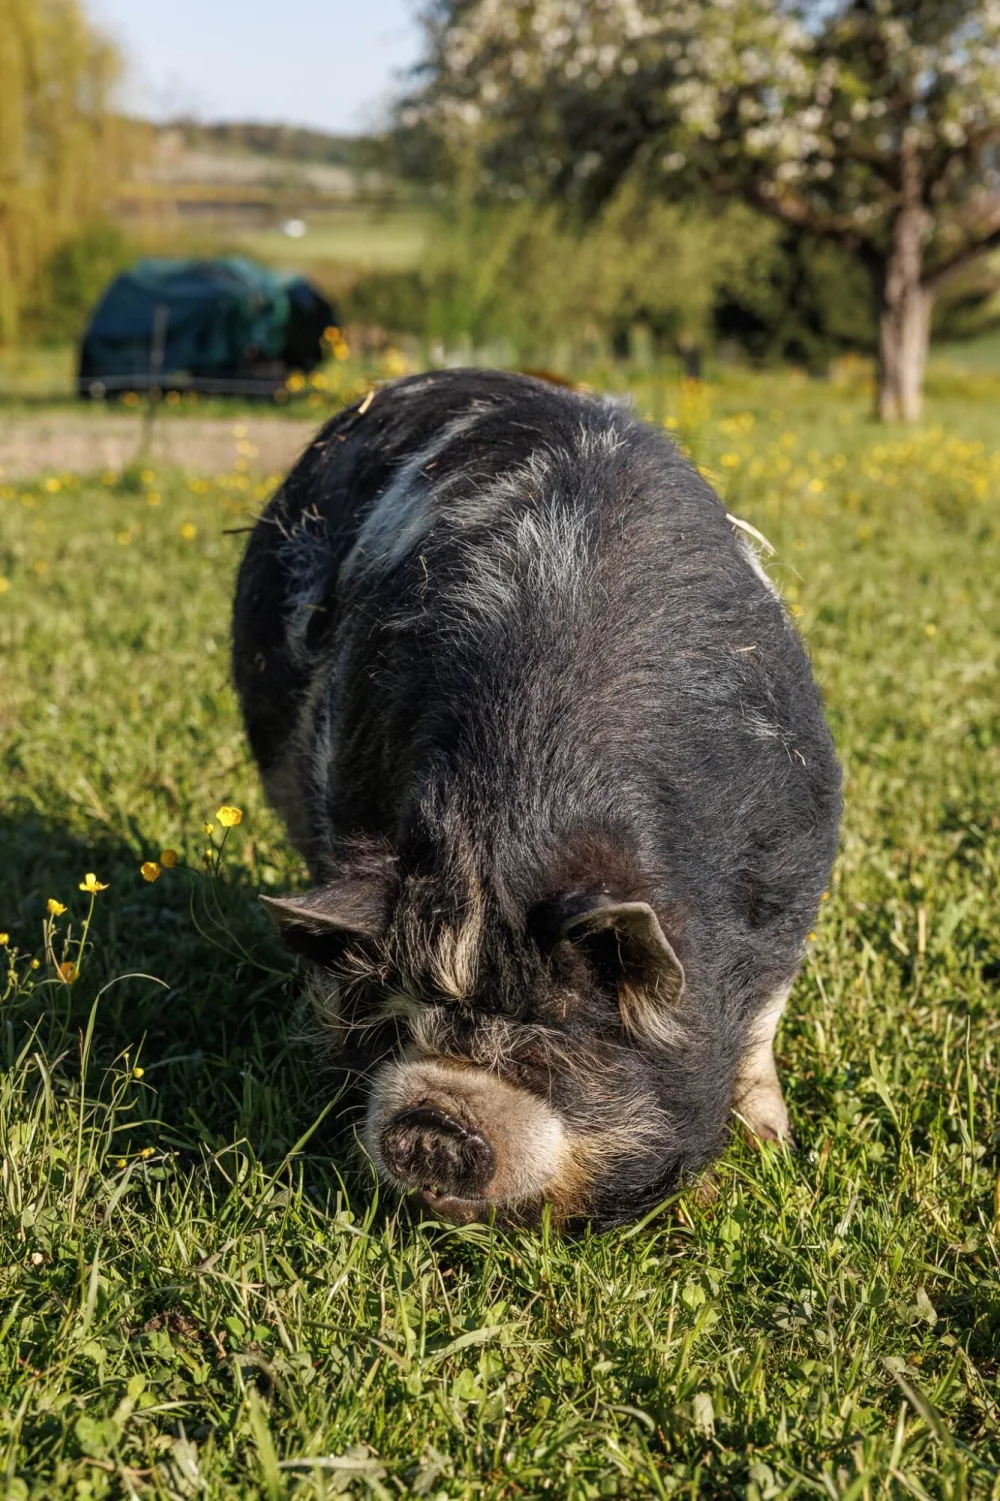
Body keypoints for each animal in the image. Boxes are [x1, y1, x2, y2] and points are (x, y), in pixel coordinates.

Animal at [232, 369, 841, 1229]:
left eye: (549, 1041)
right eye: (395, 1019)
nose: (432, 1122)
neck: (501, 839)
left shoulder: (792, 880)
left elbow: (757, 1034)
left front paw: (766, 1153)